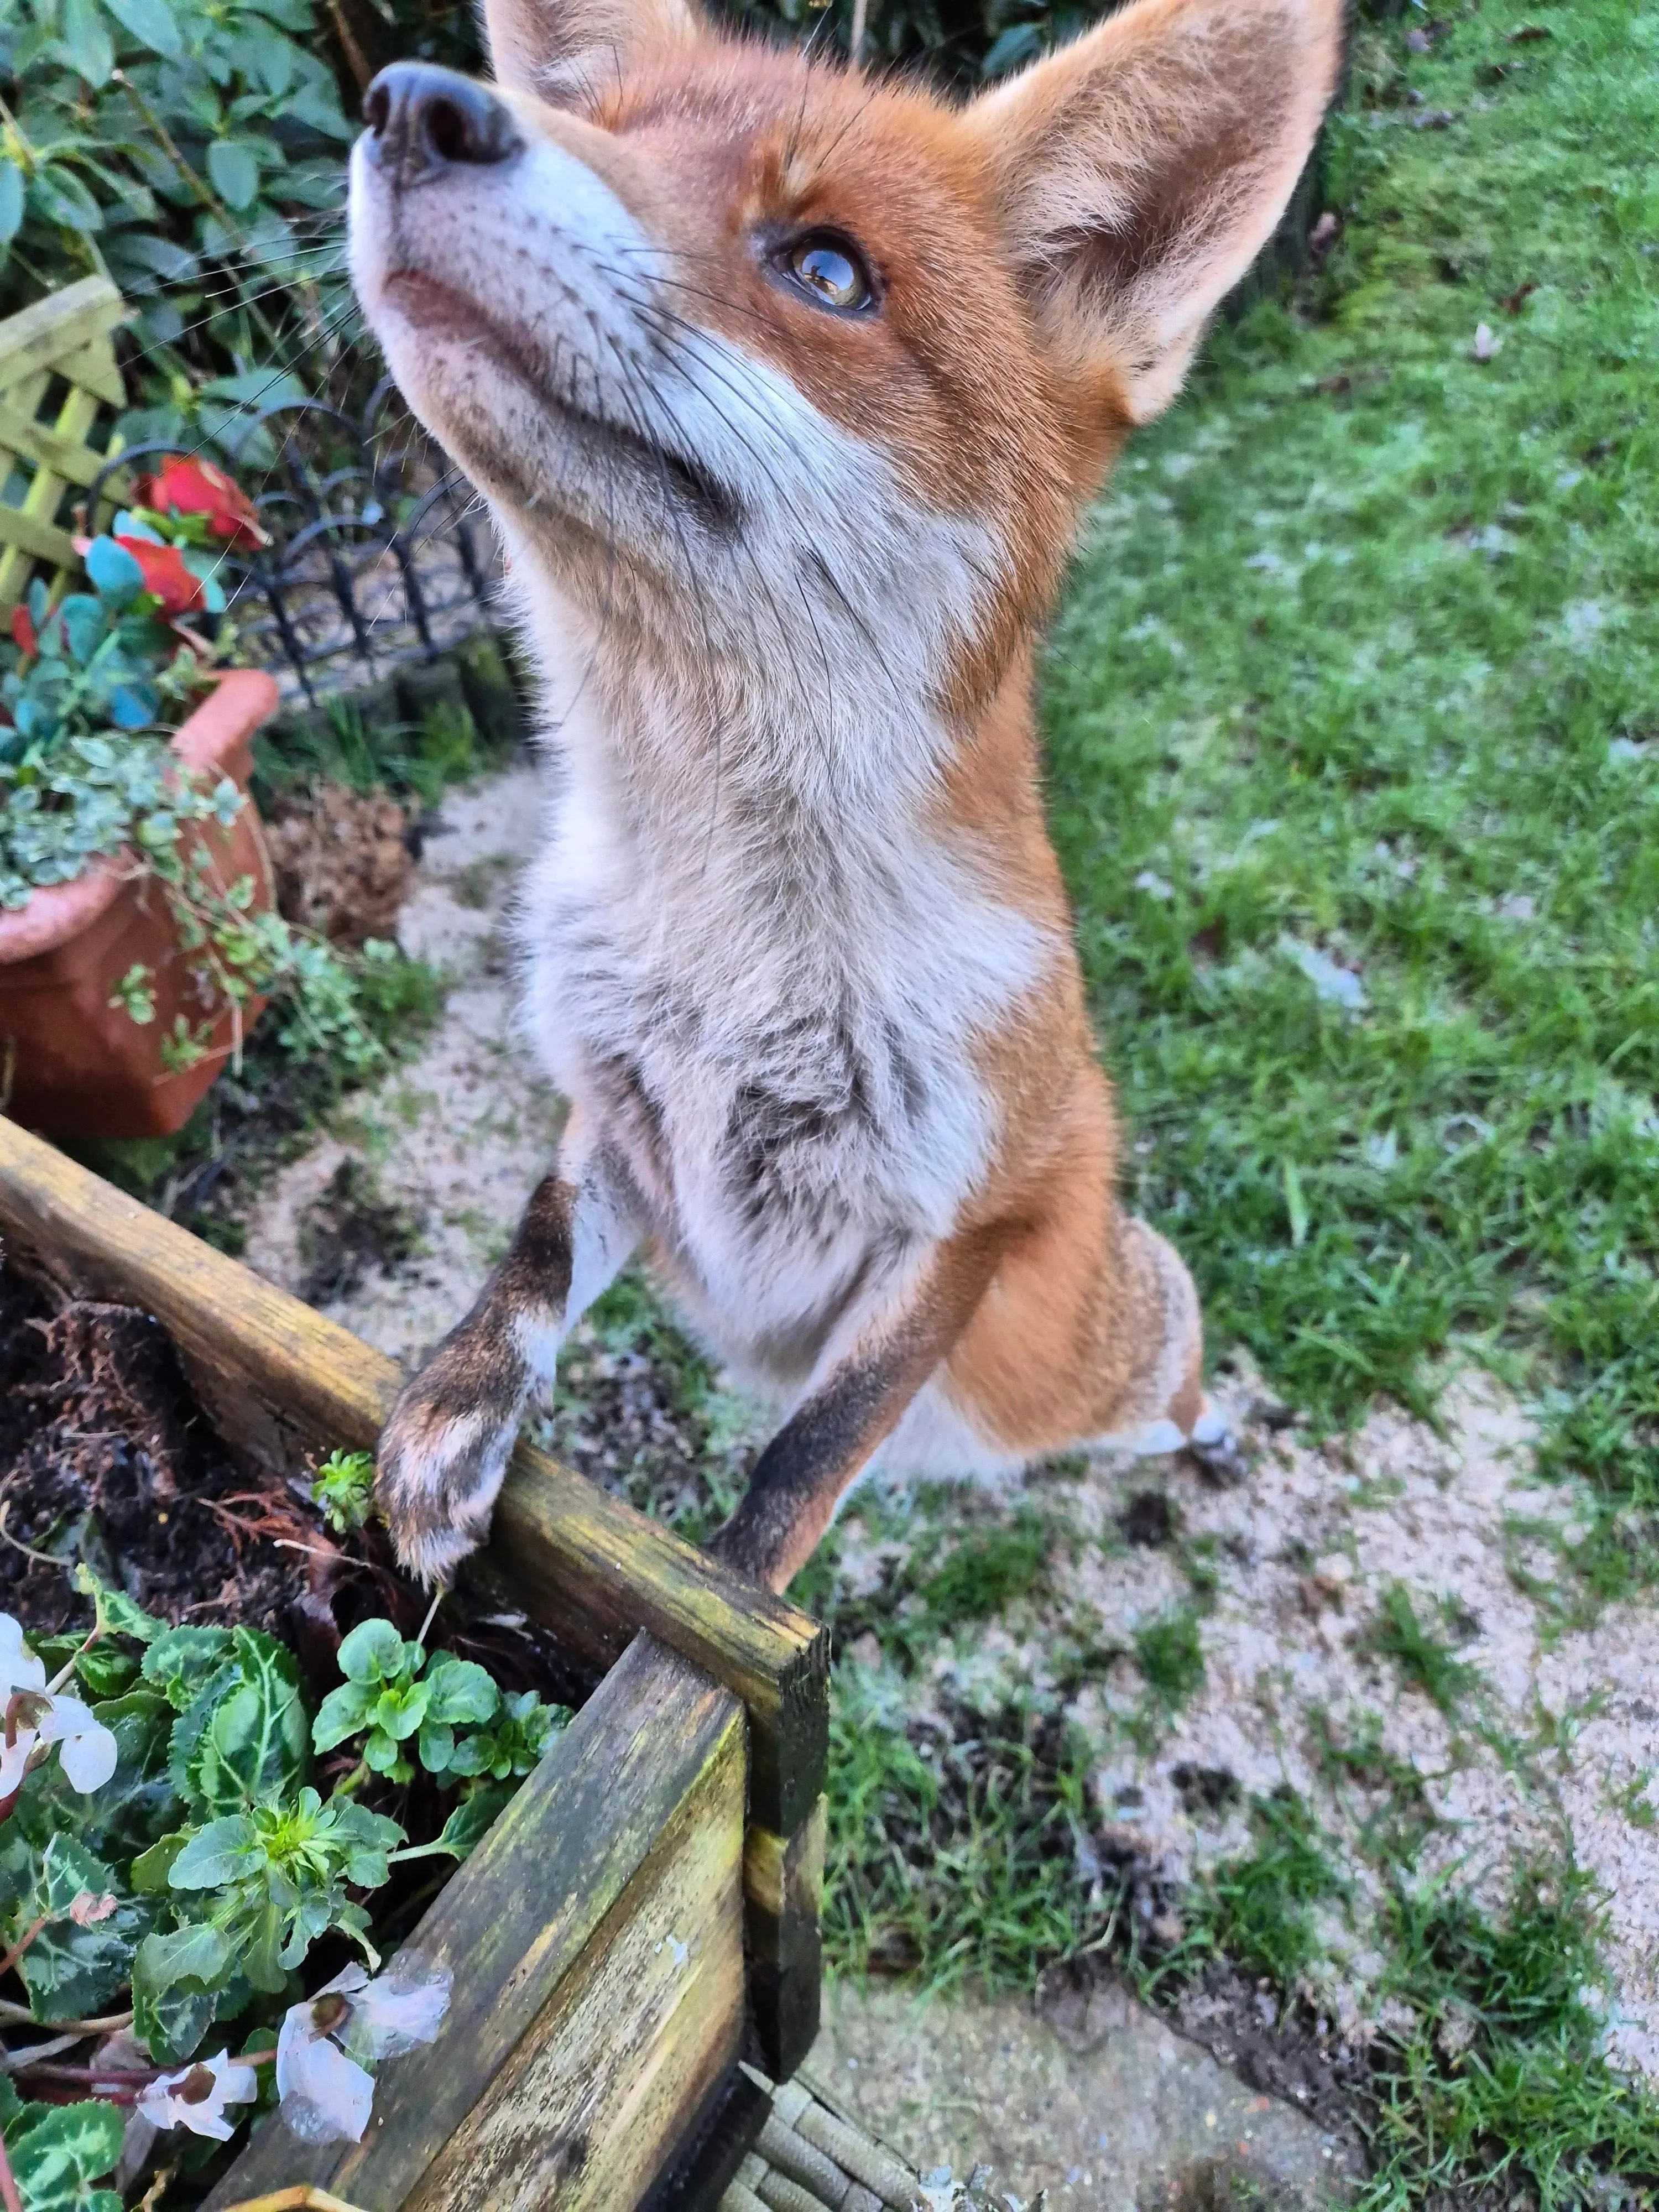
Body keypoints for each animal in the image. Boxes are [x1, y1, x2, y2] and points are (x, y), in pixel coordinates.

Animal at [347, 0, 1343, 1594]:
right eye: (597, 126)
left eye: (828, 269)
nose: (407, 105)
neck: (730, 957)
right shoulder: (615, 1116)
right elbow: (526, 1268)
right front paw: (451, 1422)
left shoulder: (970, 1223)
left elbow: (797, 1470)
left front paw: (707, 1630)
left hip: (1126, 1349)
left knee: (1175, 1389)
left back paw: (1214, 1439)